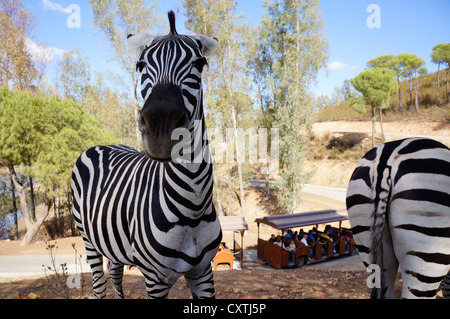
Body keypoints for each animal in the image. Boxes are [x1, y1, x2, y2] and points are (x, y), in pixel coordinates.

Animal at [71, 10, 223, 300]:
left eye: (199, 63)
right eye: (140, 65)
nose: (163, 128)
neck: (193, 207)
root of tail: (103, 144)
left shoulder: (203, 273)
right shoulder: (155, 280)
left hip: (115, 245)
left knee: (115, 274)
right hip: (88, 238)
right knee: (98, 283)